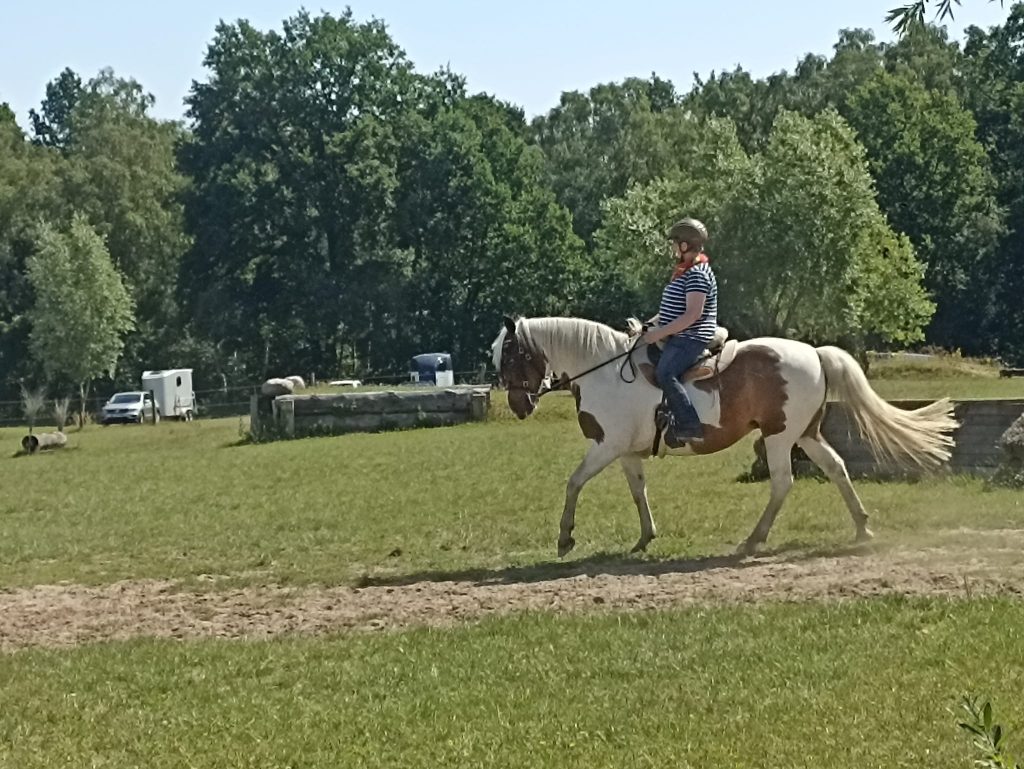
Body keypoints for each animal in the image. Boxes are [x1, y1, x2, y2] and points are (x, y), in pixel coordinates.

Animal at [491, 315, 954, 557]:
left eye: (510, 354)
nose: (518, 404)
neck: (603, 370)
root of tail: (815, 353)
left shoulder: (606, 446)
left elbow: (573, 483)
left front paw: (565, 537)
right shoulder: (626, 452)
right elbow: (638, 491)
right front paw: (645, 536)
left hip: (779, 437)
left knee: (783, 482)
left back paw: (755, 539)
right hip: (805, 433)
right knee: (837, 468)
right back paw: (861, 529)